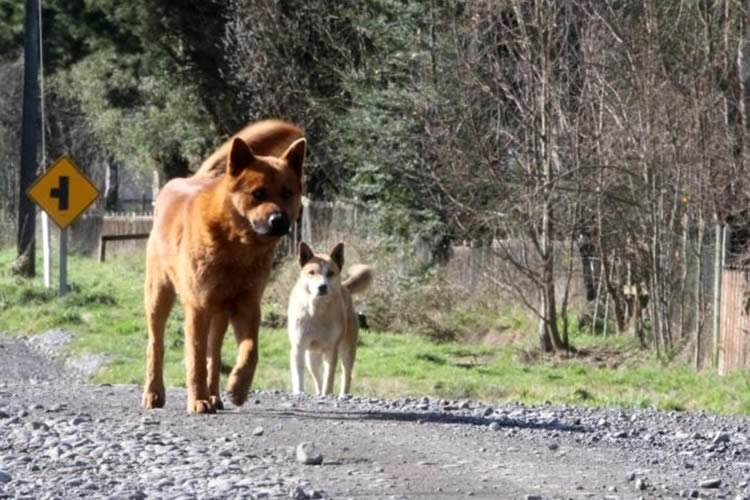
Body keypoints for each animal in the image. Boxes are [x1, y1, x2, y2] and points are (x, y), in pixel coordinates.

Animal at [141, 119, 306, 412]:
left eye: (287, 193)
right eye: (258, 193)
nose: (278, 221)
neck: (236, 247)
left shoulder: (247, 306)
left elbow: (250, 351)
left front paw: (238, 387)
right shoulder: (197, 308)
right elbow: (195, 360)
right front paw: (197, 400)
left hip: (219, 314)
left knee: (214, 354)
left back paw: (215, 396)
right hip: (159, 295)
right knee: (156, 345)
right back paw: (154, 393)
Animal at [288, 240, 374, 396]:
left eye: (330, 273)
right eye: (312, 272)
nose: (322, 287)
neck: (316, 311)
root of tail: (344, 286)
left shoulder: (331, 349)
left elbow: (329, 379)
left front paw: (327, 394)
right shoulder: (298, 347)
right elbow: (299, 378)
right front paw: (299, 392)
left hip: (347, 348)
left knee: (347, 374)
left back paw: (343, 395)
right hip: (312, 357)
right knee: (318, 378)